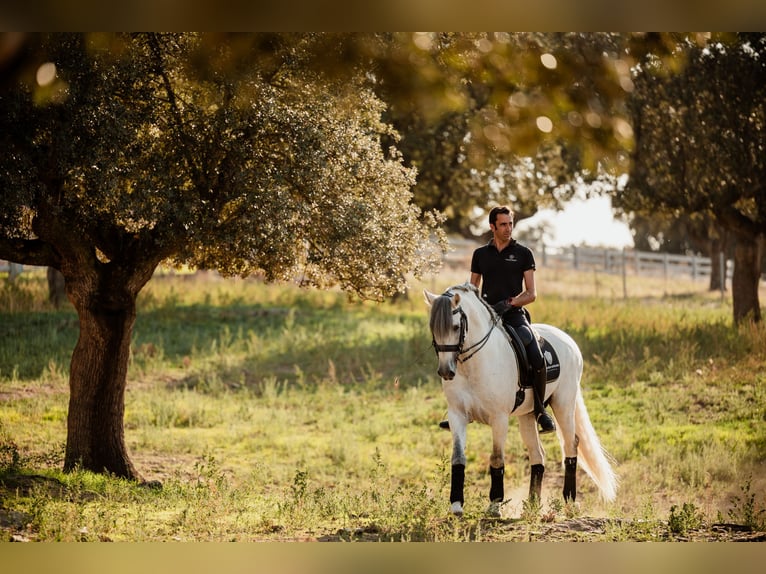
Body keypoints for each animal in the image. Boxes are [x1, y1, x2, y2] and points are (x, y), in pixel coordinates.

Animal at [426, 284, 616, 516]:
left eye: (455, 327)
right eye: (433, 328)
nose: (446, 371)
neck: (473, 364)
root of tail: (568, 340)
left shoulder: (499, 418)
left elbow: (496, 458)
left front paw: (494, 505)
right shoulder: (457, 416)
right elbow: (458, 458)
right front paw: (456, 505)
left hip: (563, 404)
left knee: (571, 445)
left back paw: (569, 501)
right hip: (527, 414)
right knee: (538, 454)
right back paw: (532, 505)